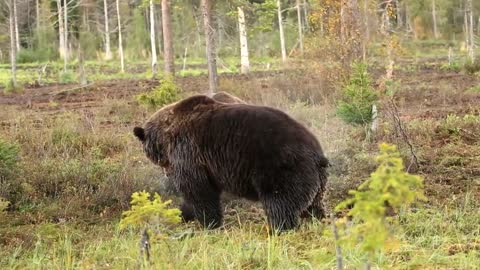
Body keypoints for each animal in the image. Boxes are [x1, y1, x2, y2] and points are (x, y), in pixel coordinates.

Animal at [133, 95, 328, 232]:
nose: (166, 173)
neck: (166, 136)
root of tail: (318, 154)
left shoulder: (188, 152)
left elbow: (198, 190)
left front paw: (209, 223)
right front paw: (183, 215)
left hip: (281, 168)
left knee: (280, 205)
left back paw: (279, 230)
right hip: (316, 180)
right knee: (314, 205)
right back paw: (317, 222)